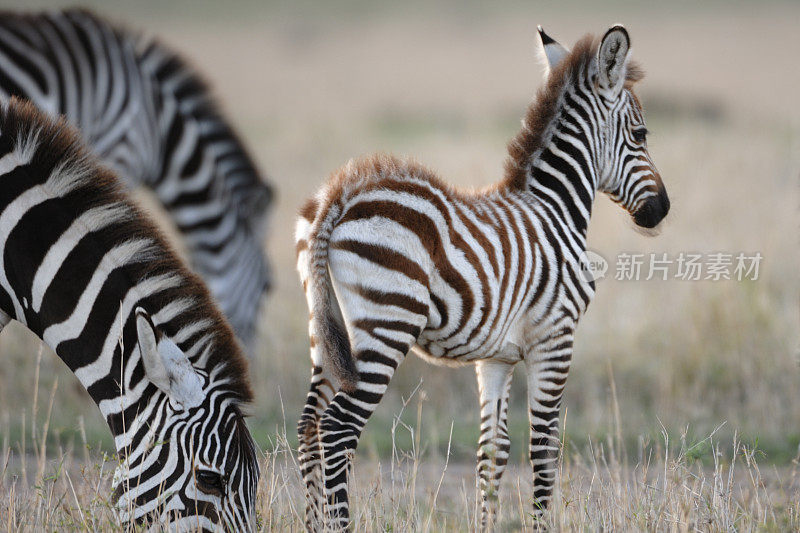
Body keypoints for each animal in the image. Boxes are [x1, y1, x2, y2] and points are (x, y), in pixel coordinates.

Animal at [294, 23, 668, 528]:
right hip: (386, 325)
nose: (661, 210)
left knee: (309, 427)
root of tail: (339, 195)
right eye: (641, 133)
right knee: (336, 428)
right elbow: (543, 449)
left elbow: (493, 451)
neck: (555, 209)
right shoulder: (555, 339)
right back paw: (339, 524)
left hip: (329, 330)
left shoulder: (496, 357)